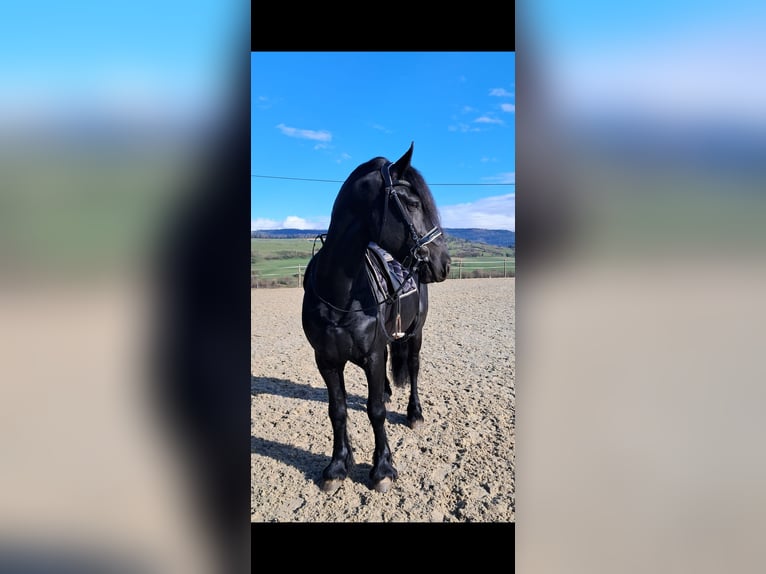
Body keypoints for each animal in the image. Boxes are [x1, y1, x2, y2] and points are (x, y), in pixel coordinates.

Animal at [301, 143, 452, 493]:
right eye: (412, 202)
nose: (444, 263)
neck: (339, 293)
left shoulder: (371, 354)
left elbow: (376, 411)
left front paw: (382, 468)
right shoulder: (326, 359)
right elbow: (338, 410)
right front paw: (337, 466)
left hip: (415, 334)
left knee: (413, 368)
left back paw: (414, 414)